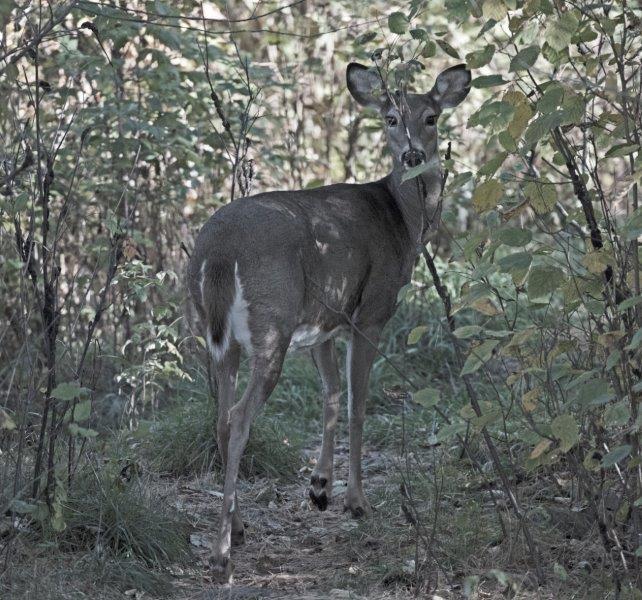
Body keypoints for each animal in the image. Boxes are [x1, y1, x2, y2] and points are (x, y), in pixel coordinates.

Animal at [187, 61, 471, 581]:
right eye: (390, 118)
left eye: (432, 117)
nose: (413, 154)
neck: (403, 223)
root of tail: (216, 253)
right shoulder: (371, 311)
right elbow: (358, 403)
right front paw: (357, 502)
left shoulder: (322, 322)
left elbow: (332, 395)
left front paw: (320, 487)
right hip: (271, 326)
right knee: (239, 416)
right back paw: (222, 555)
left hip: (218, 335)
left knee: (219, 416)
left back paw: (238, 528)